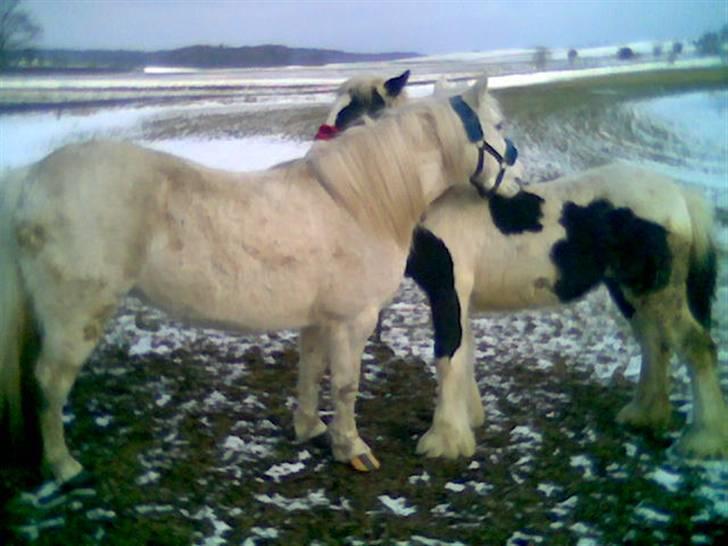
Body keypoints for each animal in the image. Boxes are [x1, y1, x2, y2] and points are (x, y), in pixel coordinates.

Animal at [0, 76, 523, 485]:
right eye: (497, 127)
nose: (518, 185)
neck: (356, 203)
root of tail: (30, 179)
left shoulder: (319, 321)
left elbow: (311, 373)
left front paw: (311, 430)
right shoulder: (352, 321)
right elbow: (346, 385)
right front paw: (352, 450)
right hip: (77, 318)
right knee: (49, 382)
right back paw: (63, 467)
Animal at [319, 74, 728, 461]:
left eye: (350, 110)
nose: (318, 153)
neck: (437, 200)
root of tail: (679, 194)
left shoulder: (447, 291)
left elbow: (448, 356)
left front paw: (444, 441)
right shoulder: (460, 297)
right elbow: (464, 354)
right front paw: (469, 422)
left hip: (655, 290)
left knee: (695, 346)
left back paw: (703, 439)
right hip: (630, 289)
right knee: (654, 341)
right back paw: (644, 414)